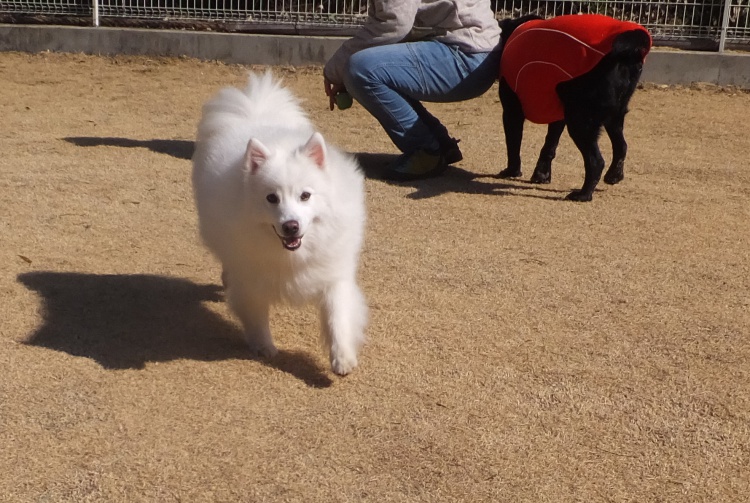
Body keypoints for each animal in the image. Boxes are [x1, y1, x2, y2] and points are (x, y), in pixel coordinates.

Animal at [192, 72, 368, 375]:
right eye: (271, 198)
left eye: (305, 196)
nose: (291, 226)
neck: (293, 255)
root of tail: (256, 112)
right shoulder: (251, 280)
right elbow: (257, 315)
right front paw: (265, 347)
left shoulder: (332, 274)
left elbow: (337, 317)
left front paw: (342, 358)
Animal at [497, 14, 652, 201]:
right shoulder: (558, 116)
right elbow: (549, 145)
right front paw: (541, 175)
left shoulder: (511, 112)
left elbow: (513, 144)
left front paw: (511, 171)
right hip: (613, 116)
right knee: (621, 146)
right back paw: (614, 176)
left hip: (581, 122)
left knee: (596, 161)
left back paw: (583, 194)